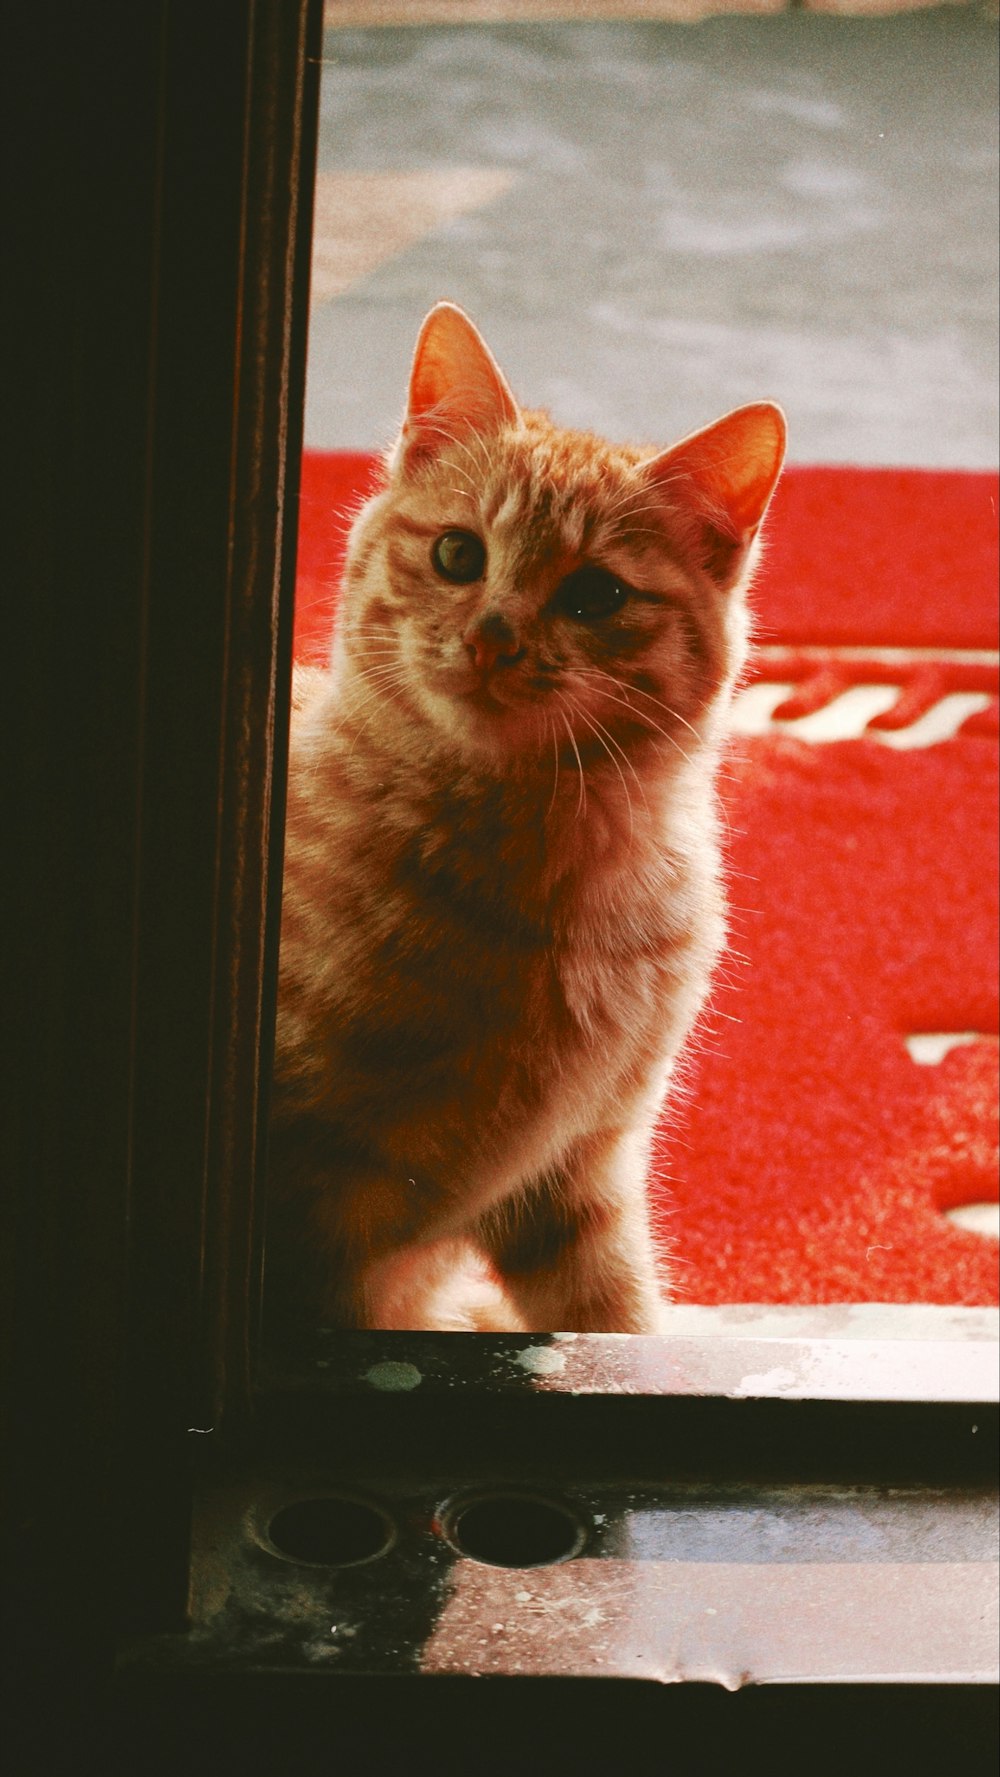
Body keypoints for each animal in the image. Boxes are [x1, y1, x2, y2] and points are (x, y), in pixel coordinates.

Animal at [264, 302, 781, 1336]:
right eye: (458, 554)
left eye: (597, 594)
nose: (493, 635)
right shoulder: (311, 1208)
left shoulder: (580, 1179)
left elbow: (621, 1321)